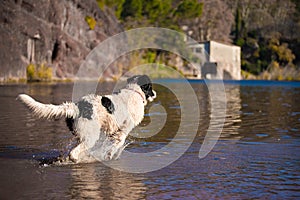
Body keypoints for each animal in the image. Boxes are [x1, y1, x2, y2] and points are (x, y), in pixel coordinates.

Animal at [18, 74, 157, 163]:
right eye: (150, 87)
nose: (155, 93)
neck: (134, 91)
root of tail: (76, 107)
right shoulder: (123, 130)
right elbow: (117, 144)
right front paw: (110, 155)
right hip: (91, 137)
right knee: (73, 153)